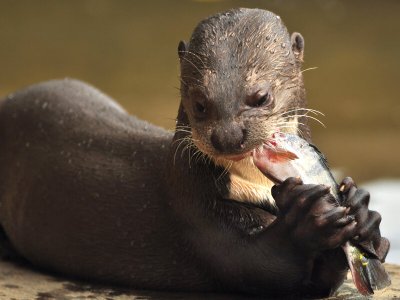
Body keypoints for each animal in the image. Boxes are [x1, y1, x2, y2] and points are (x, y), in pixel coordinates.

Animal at [0, 7, 390, 298]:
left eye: (260, 96)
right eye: (200, 103)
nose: (228, 136)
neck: (255, 189)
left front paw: (362, 210)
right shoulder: (194, 215)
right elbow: (259, 265)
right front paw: (307, 217)